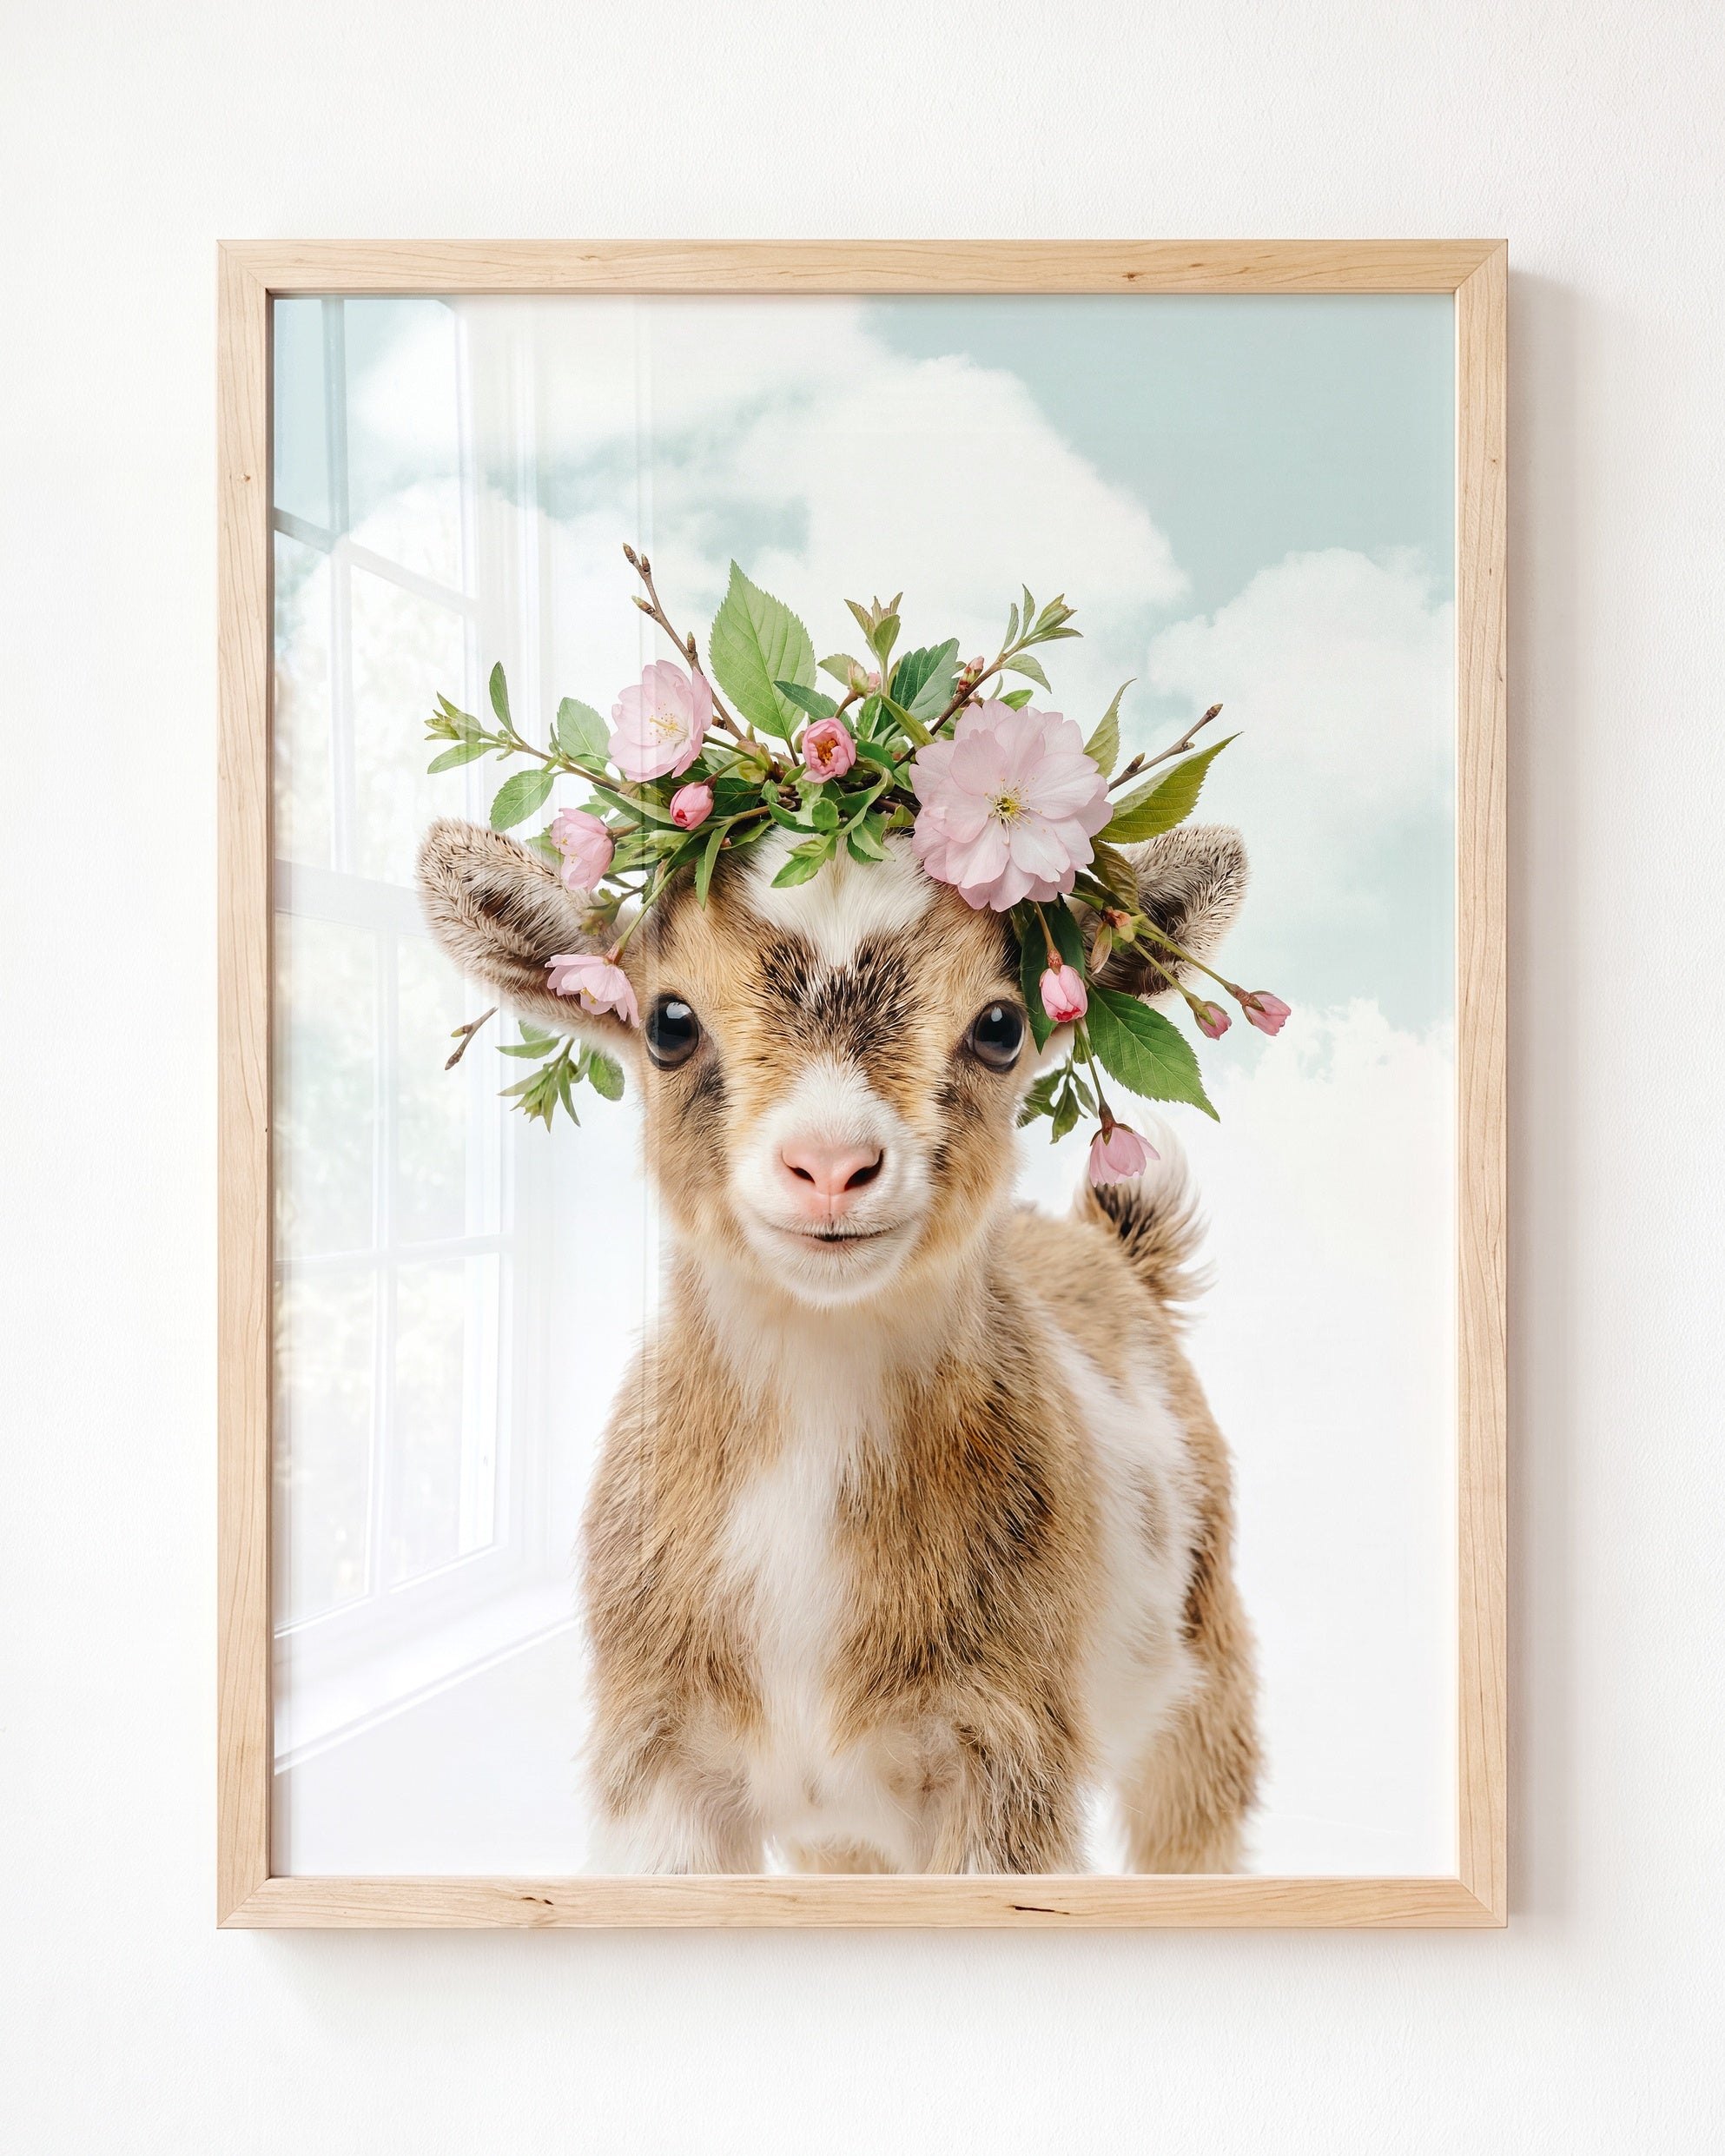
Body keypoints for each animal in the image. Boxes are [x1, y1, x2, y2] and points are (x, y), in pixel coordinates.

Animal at [418, 816, 1260, 1873]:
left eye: (1000, 1026)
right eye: (668, 1023)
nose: (829, 1165)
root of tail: (1112, 1250)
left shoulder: (1007, 1756)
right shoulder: (659, 1762)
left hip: (1207, 1669)